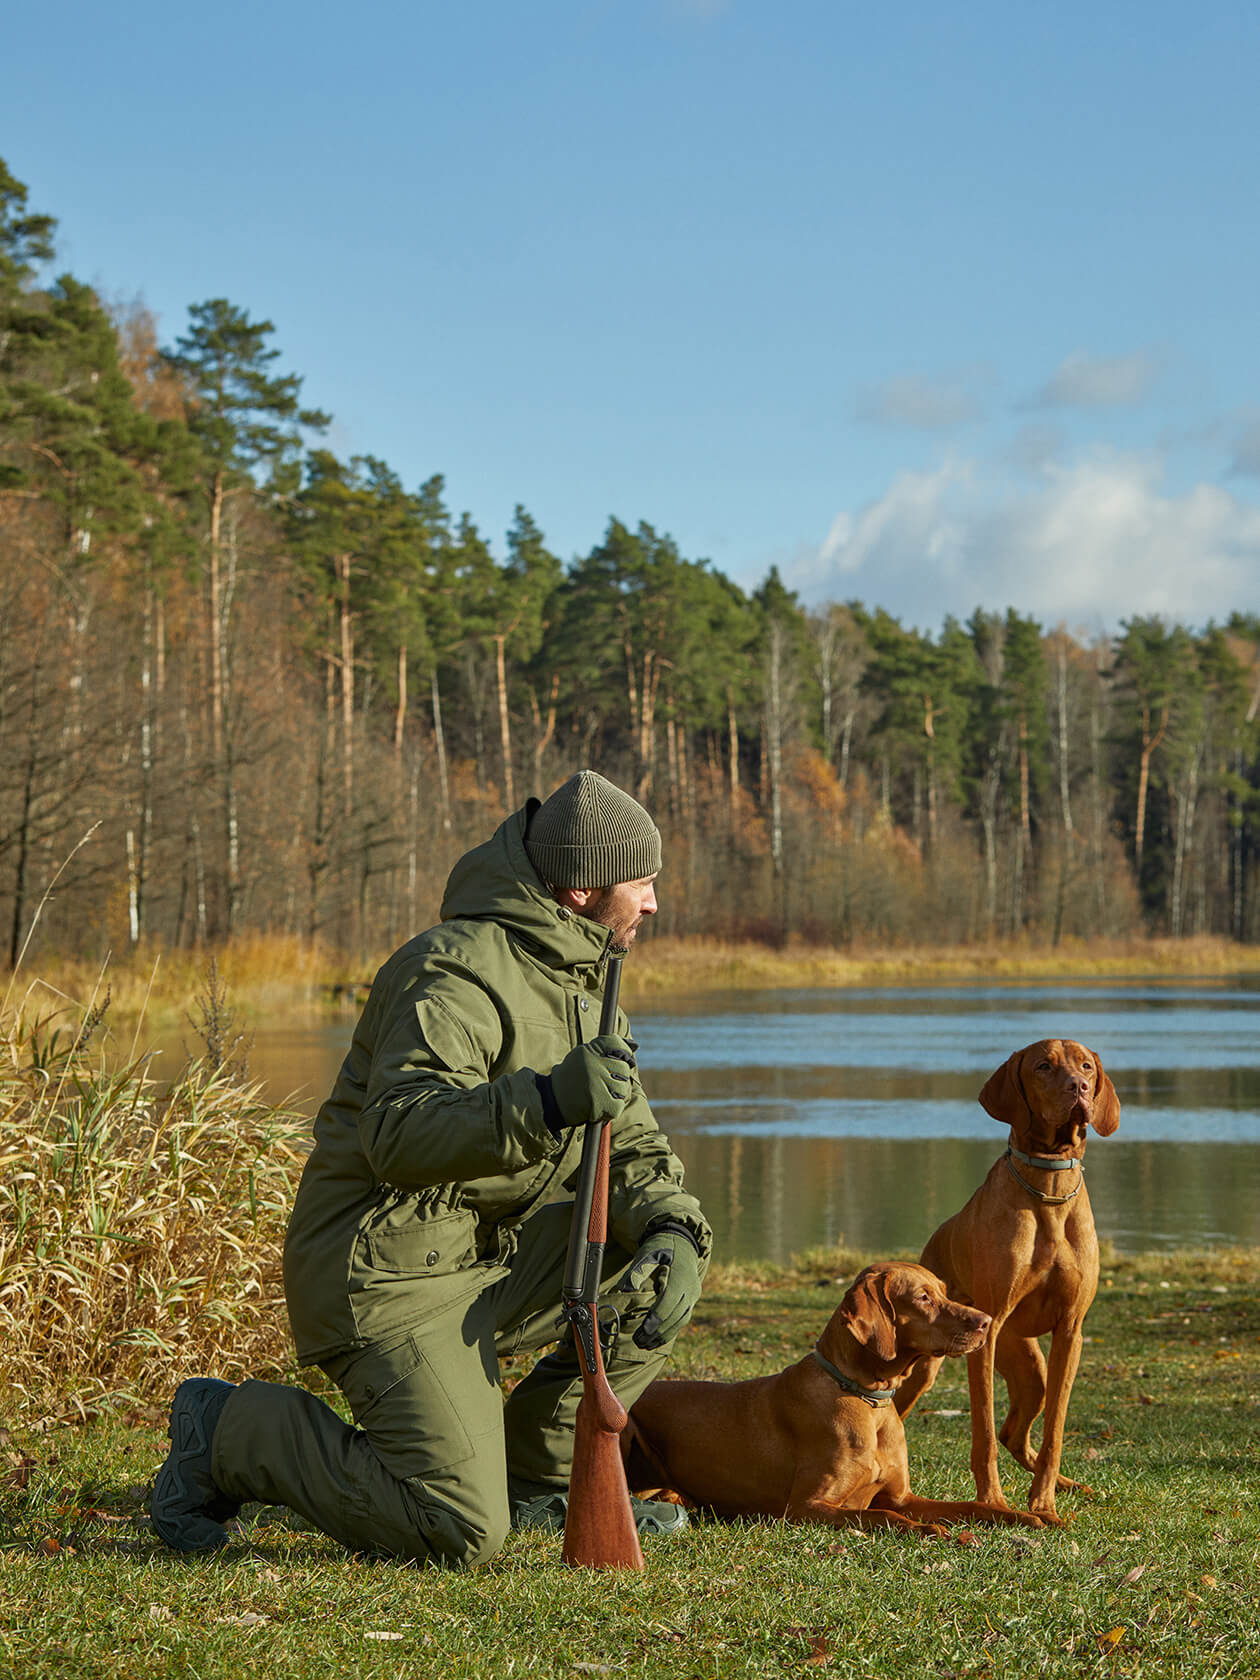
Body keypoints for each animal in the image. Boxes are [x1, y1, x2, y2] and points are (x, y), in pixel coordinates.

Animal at [621, 1263, 1048, 1538]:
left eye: (943, 1292)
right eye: (924, 1298)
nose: (986, 1322)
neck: (867, 1399)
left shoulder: (903, 1496)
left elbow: (970, 1507)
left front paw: (1023, 1516)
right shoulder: (807, 1507)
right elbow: (882, 1516)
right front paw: (928, 1529)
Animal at [900, 1034, 1122, 1525]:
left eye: (1085, 1066)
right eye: (1043, 1066)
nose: (1079, 1088)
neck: (1050, 1190)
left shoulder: (1070, 1332)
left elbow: (1054, 1429)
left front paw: (1043, 1504)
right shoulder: (988, 1331)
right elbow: (981, 1431)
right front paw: (994, 1504)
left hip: (1030, 1368)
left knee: (1015, 1433)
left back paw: (1066, 1485)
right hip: (923, 1367)